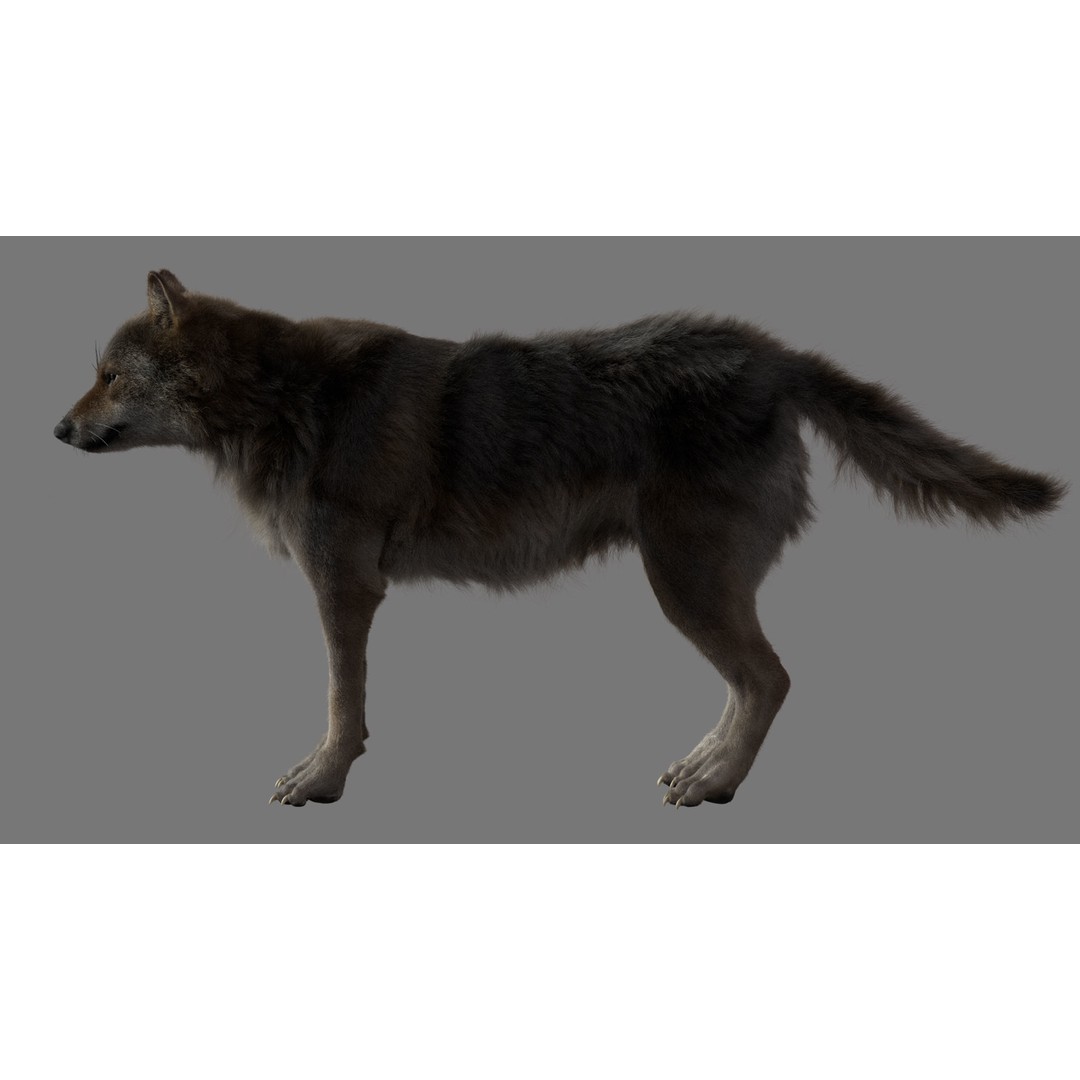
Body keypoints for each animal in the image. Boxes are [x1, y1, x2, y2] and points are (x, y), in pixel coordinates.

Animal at [54, 271, 1066, 809]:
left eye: (110, 376)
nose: (55, 431)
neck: (281, 399)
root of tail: (771, 354)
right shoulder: (350, 590)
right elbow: (349, 701)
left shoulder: (343, 589)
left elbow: (343, 702)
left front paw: (323, 779)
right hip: (694, 584)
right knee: (755, 683)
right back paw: (701, 766)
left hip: (683, 583)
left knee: (772, 679)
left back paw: (715, 782)